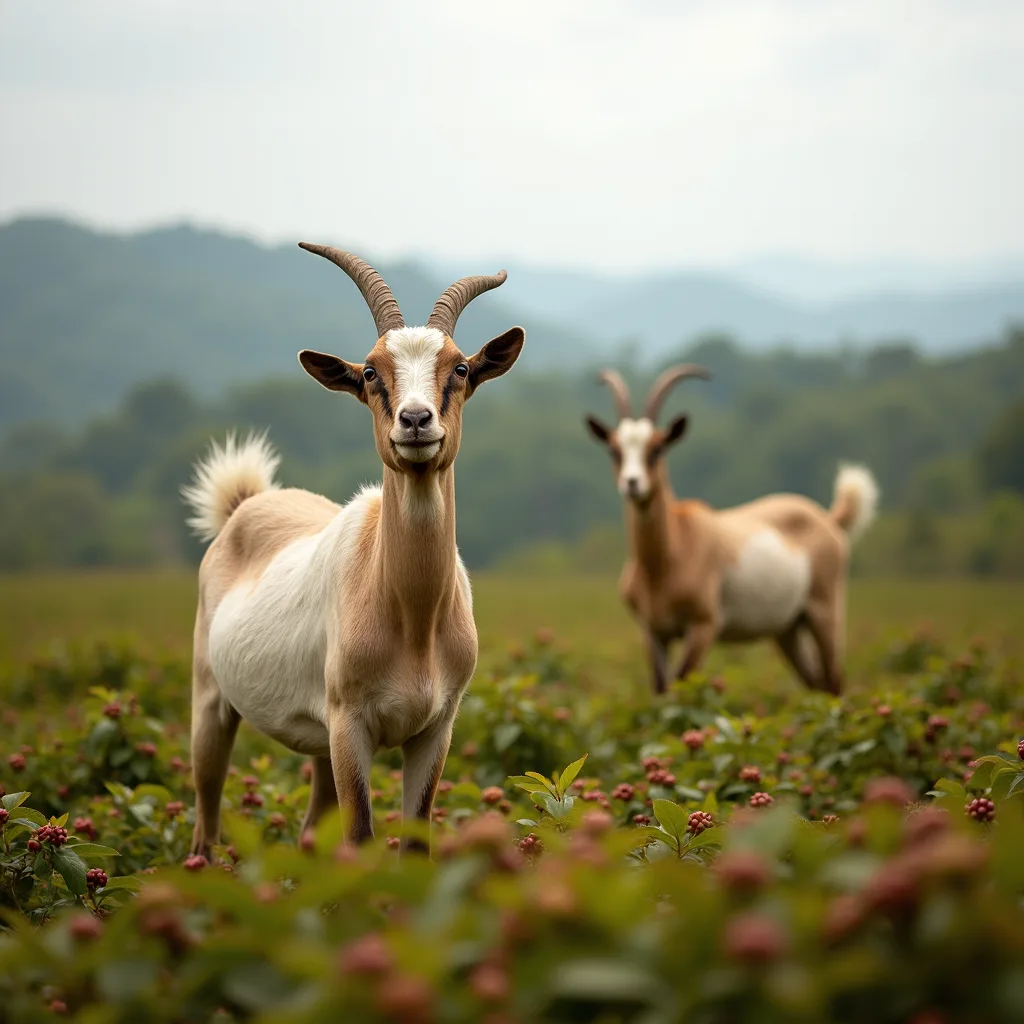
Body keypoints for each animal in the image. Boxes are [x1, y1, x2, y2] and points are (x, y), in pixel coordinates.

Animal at [182, 244, 524, 855]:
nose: (415, 421)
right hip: (212, 705)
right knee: (206, 814)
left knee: (309, 833)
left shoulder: (436, 728)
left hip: (318, 745)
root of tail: (243, 504)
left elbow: (414, 840)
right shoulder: (350, 726)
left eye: (460, 368)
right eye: (369, 371)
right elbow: (361, 837)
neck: (411, 614)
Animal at [585, 366, 878, 695]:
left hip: (825, 612)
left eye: (657, 447)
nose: (632, 484)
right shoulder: (654, 632)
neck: (667, 557)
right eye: (614, 450)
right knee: (818, 682)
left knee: (835, 680)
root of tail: (829, 519)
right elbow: (661, 689)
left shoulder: (703, 626)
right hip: (789, 629)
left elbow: (683, 683)